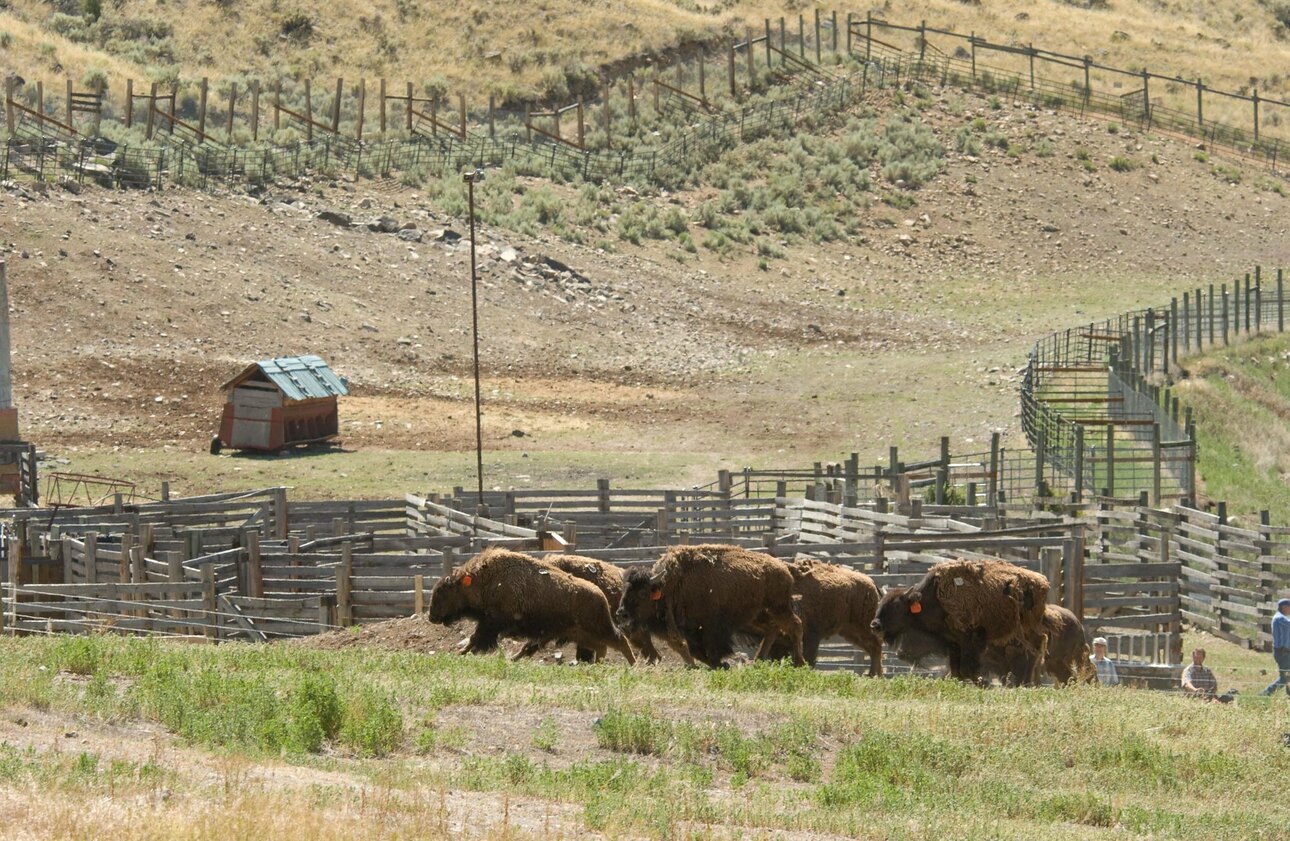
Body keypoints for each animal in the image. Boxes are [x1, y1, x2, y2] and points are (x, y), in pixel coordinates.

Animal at [428, 544, 634, 665]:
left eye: (443, 591)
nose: (431, 617)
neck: (484, 580)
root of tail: (600, 595)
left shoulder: (491, 623)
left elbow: (475, 639)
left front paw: (460, 653)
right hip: (579, 634)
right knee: (602, 647)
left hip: (598, 629)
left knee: (619, 640)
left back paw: (633, 666)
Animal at [614, 544, 804, 670]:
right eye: (624, 590)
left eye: (642, 593)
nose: (622, 613)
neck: (669, 585)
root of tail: (784, 569)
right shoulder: (691, 630)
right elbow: (694, 650)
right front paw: (718, 663)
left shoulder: (711, 627)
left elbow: (709, 648)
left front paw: (720, 663)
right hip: (756, 616)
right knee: (772, 629)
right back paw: (758, 660)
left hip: (778, 608)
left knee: (795, 625)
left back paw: (799, 662)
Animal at [753, 557, 887, 675]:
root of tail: (871, 583)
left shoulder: (812, 637)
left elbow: (809, 659)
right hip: (850, 632)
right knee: (872, 649)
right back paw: (876, 676)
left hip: (863, 627)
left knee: (876, 646)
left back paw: (873, 675)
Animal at [872, 557, 1052, 681]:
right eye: (880, 603)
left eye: (896, 606)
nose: (875, 625)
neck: (932, 600)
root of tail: (1042, 581)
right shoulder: (953, 643)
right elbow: (956, 671)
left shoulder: (968, 639)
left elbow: (967, 669)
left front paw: (983, 683)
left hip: (1027, 629)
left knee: (1033, 652)